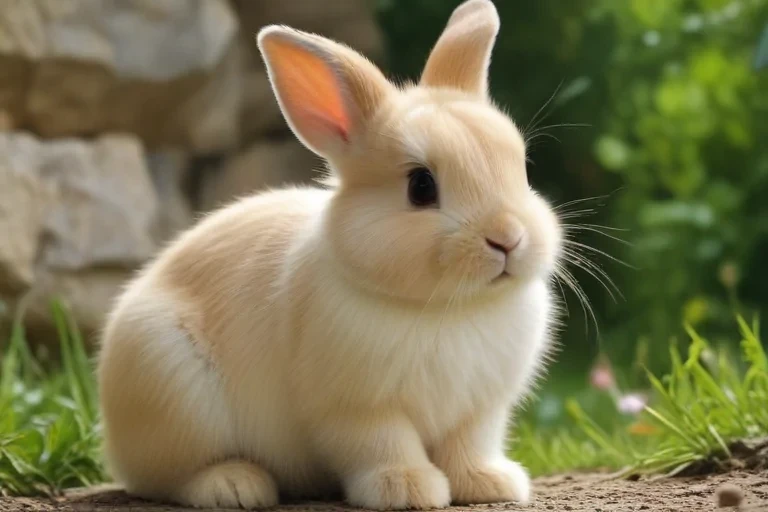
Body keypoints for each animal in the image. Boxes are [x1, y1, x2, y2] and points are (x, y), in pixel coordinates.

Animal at [97, 0, 563, 509]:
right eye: (421, 186)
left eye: (521, 167)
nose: (509, 238)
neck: (449, 307)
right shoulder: (356, 408)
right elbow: (384, 445)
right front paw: (407, 488)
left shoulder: (480, 410)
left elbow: (469, 446)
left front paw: (490, 484)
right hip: (171, 386)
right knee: (167, 478)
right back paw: (235, 486)